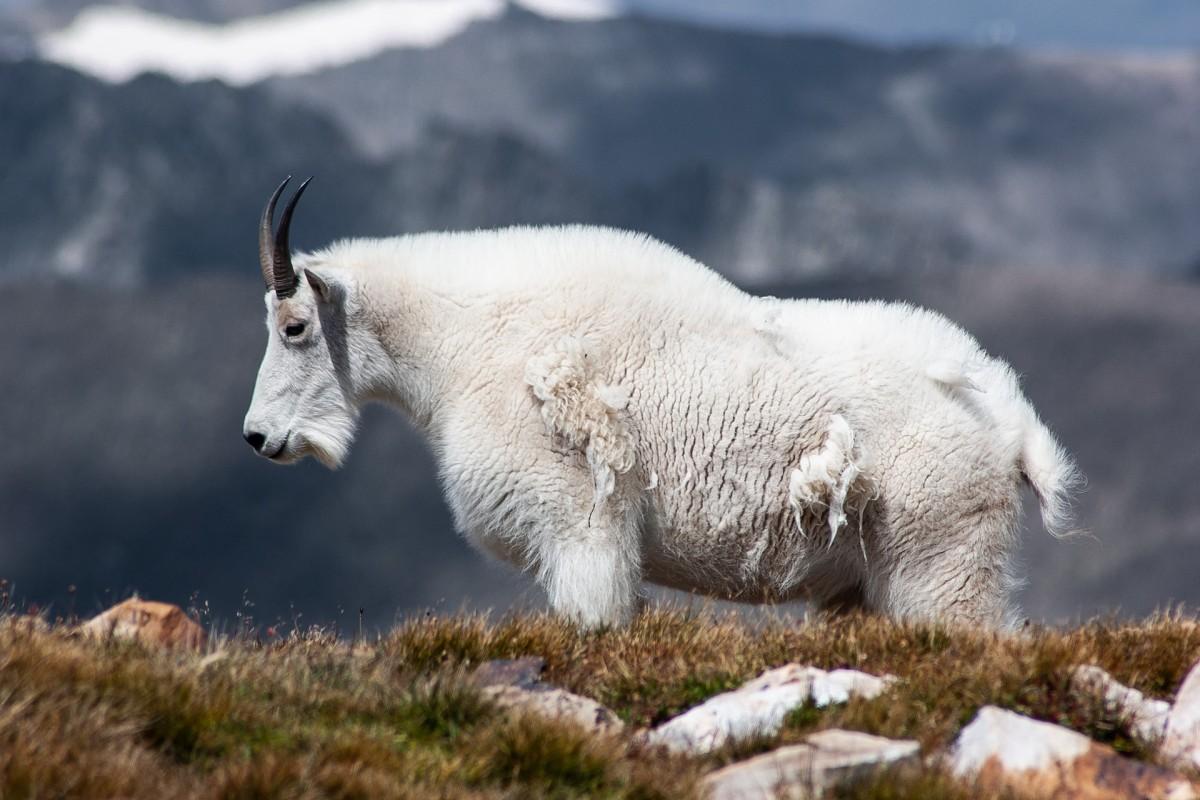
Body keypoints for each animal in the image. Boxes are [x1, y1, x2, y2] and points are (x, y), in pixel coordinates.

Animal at [241, 178, 1080, 628]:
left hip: (941, 564)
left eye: (293, 326)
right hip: (870, 582)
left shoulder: (580, 527)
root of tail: (1014, 425)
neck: (462, 343)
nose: (258, 437)